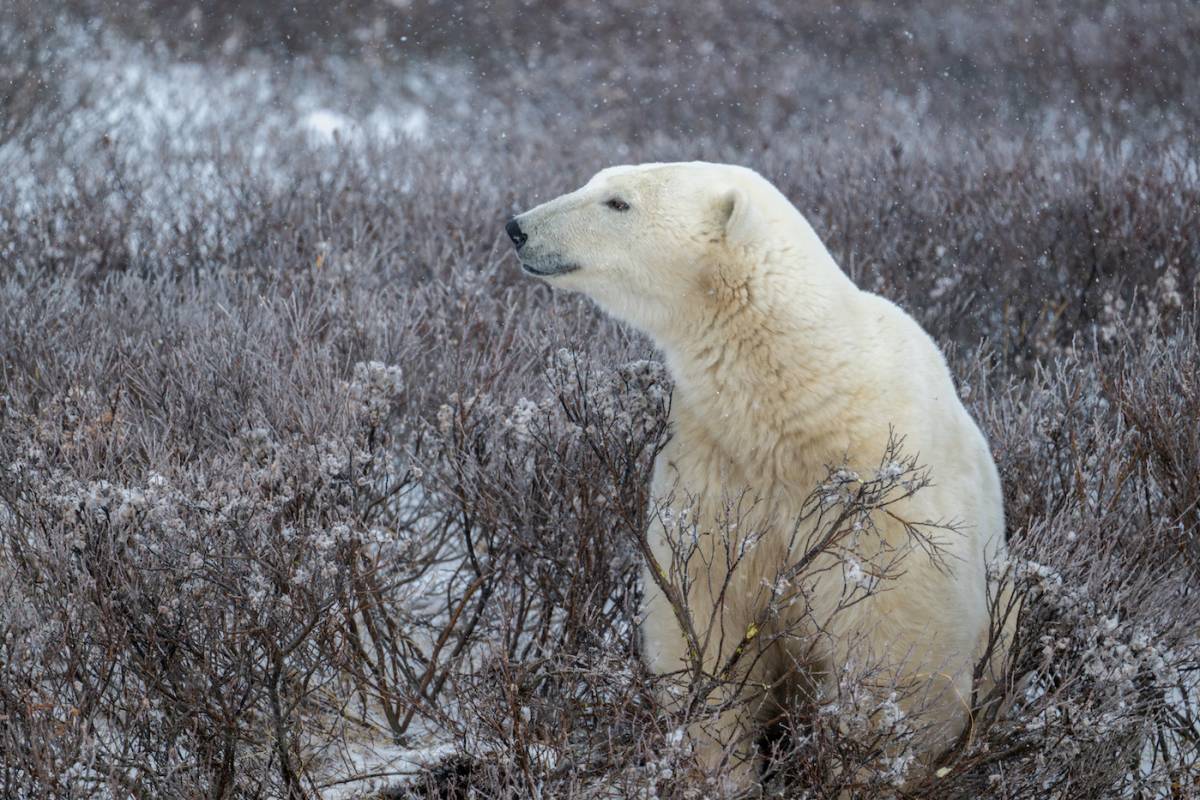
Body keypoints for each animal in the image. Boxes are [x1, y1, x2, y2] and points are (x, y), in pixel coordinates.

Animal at [501, 160, 1008, 786]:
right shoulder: (715, 468)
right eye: (597, 180)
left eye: (618, 202)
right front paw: (722, 770)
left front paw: (871, 768)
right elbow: (708, 624)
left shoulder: (882, 499)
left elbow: (897, 649)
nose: (517, 227)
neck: (801, 399)